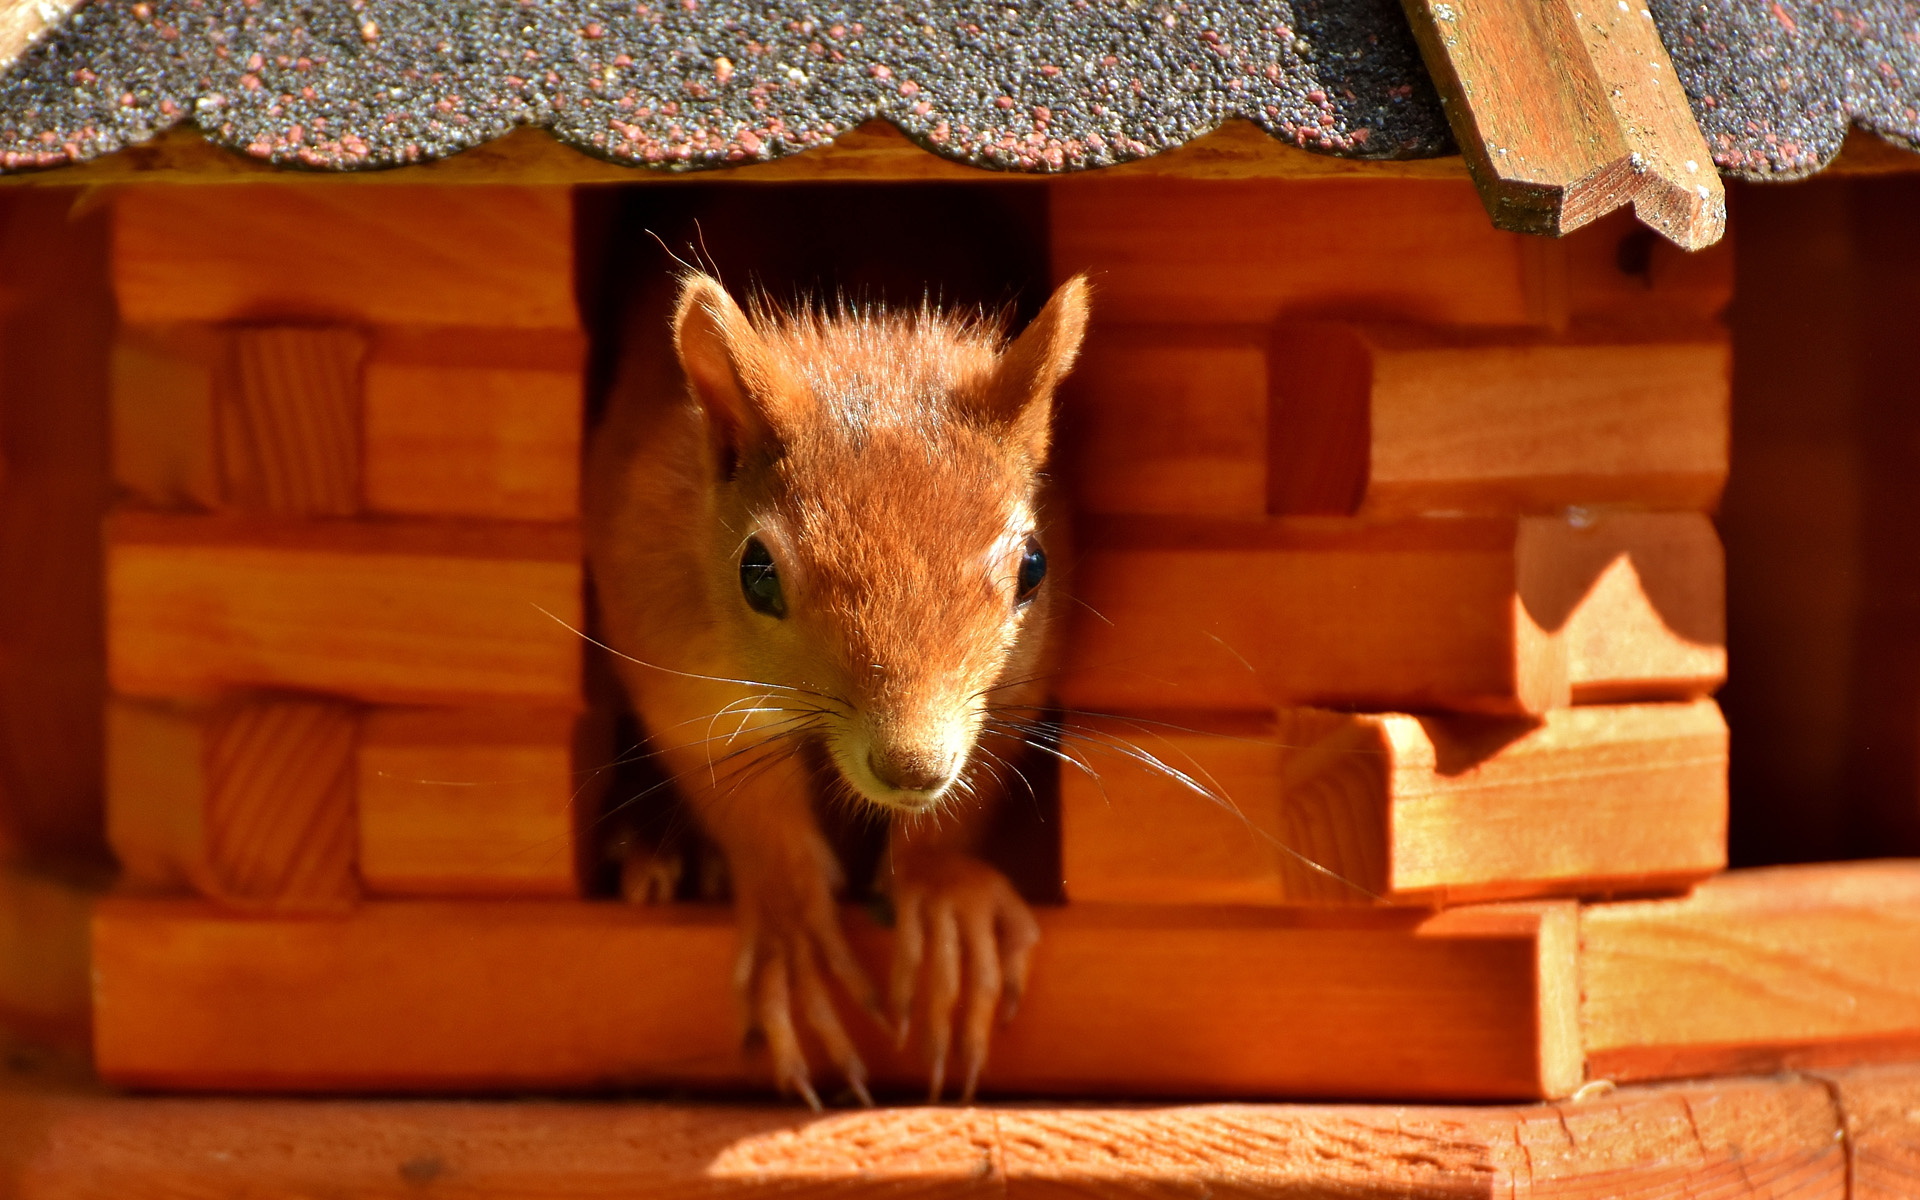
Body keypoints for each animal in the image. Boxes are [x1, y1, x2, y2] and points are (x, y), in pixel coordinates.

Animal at [583, 264, 1090, 1105]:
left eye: (1034, 567)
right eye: (757, 574)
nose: (913, 767)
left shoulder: (1019, 684)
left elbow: (977, 781)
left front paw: (944, 901)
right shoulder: (667, 639)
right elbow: (735, 787)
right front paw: (793, 931)